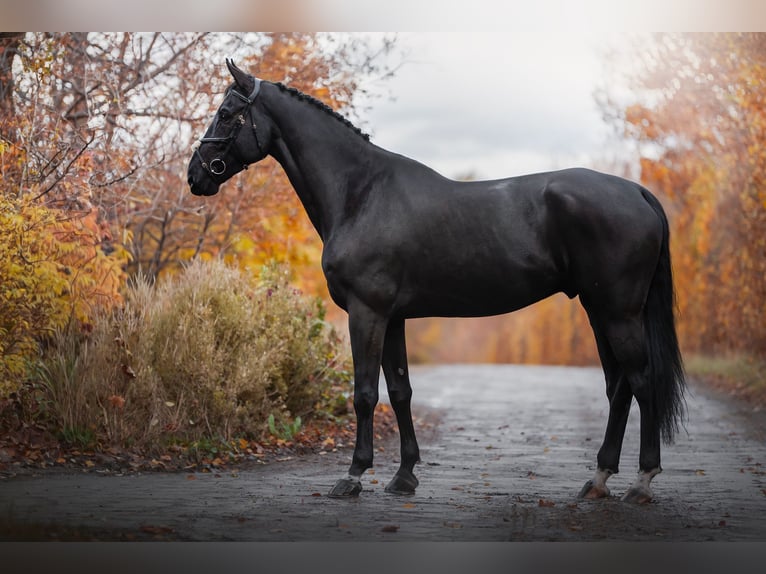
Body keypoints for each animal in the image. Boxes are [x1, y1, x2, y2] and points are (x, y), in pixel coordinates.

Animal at [188, 60, 686, 504]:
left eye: (228, 113)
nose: (196, 174)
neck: (361, 193)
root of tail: (637, 192)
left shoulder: (367, 313)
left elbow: (365, 394)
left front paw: (353, 476)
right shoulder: (393, 318)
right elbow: (400, 391)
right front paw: (404, 475)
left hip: (618, 312)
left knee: (641, 381)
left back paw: (641, 483)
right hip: (599, 311)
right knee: (619, 387)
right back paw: (598, 480)